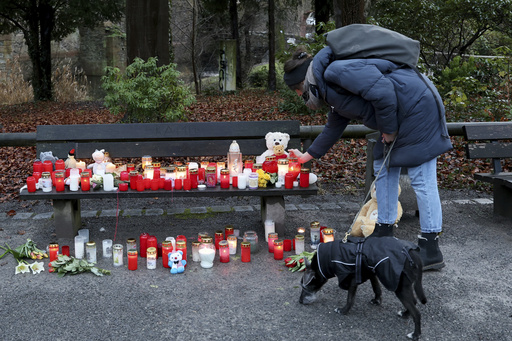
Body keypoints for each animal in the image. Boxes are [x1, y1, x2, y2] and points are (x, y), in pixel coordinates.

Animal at [300, 236, 428, 340]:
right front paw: (377, 300)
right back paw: (405, 313)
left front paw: (343, 311)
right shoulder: (371, 272)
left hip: (400, 289)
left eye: (305, 287)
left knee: (417, 313)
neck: (330, 257)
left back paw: (415, 335)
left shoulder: (352, 280)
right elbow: (376, 288)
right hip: (405, 286)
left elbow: (350, 299)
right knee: (414, 301)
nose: (300, 301)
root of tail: (413, 256)